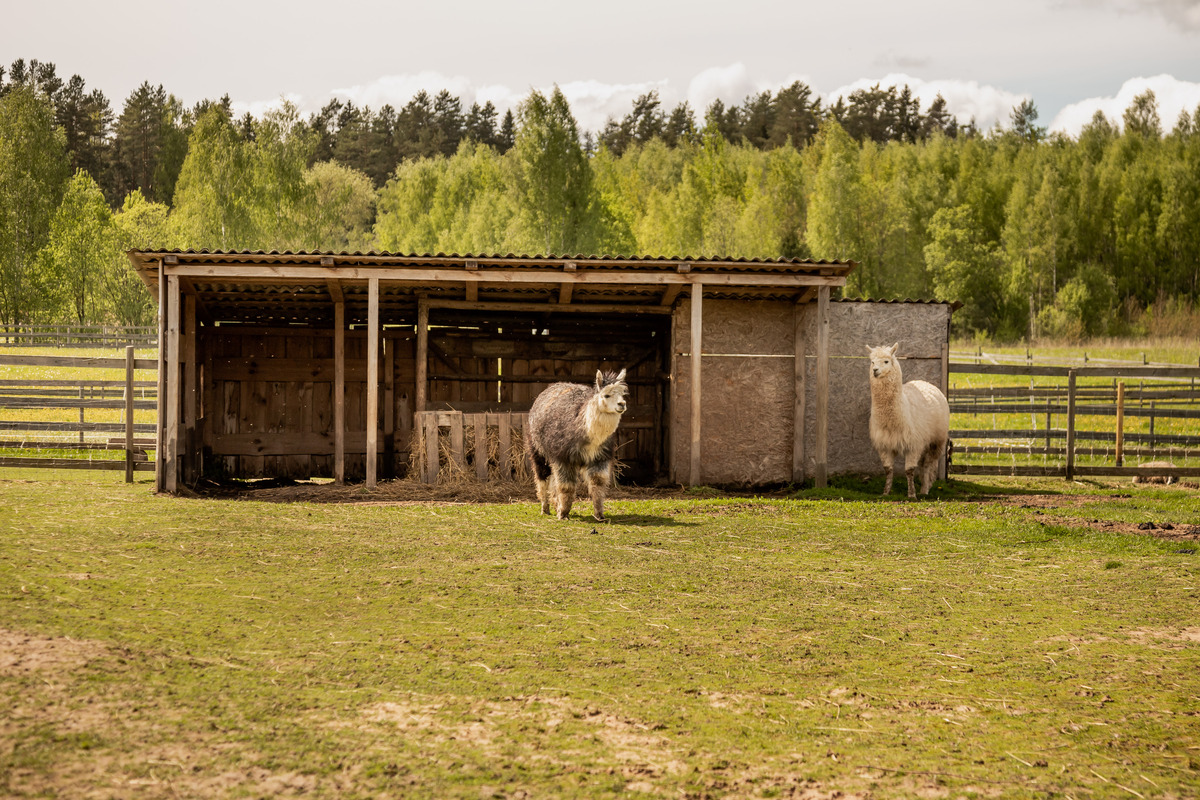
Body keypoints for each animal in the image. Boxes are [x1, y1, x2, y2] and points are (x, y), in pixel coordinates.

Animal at [527, 369, 628, 521]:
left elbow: (598, 483)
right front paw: (563, 514)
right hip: (537, 448)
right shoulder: (562, 457)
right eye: (606, 395)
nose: (622, 404)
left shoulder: (600, 456)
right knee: (542, 476)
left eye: (623, 394)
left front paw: (599, 514)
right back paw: (545, 509)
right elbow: (566, 486)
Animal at [866, 343, 950, 499]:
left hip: (936, 440)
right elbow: (888, 469)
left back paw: (925, 489)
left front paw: (911, 494)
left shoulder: (914, 443)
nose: (875, 370)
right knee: (923, 464)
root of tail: (923, 382)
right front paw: (885, 492)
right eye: (872, 362)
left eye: (886, 361)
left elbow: (909, 470)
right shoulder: (884, 444)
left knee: (928, 464)